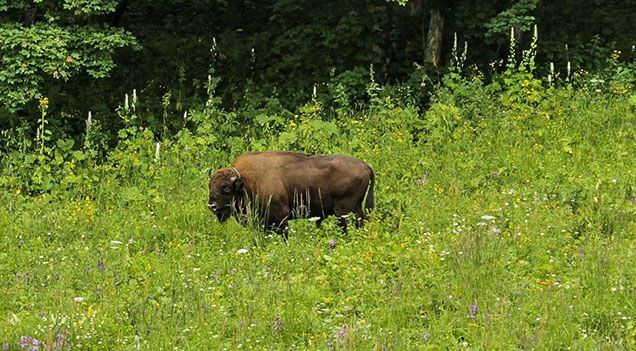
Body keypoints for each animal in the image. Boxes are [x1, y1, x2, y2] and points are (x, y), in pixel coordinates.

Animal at [209, 151, 376, 234]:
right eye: (210, 185)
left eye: (226, 187)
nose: (212, 206)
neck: (248, 181)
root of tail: (365, 165)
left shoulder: (281, 217)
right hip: (355, 207)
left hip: (343, 210)